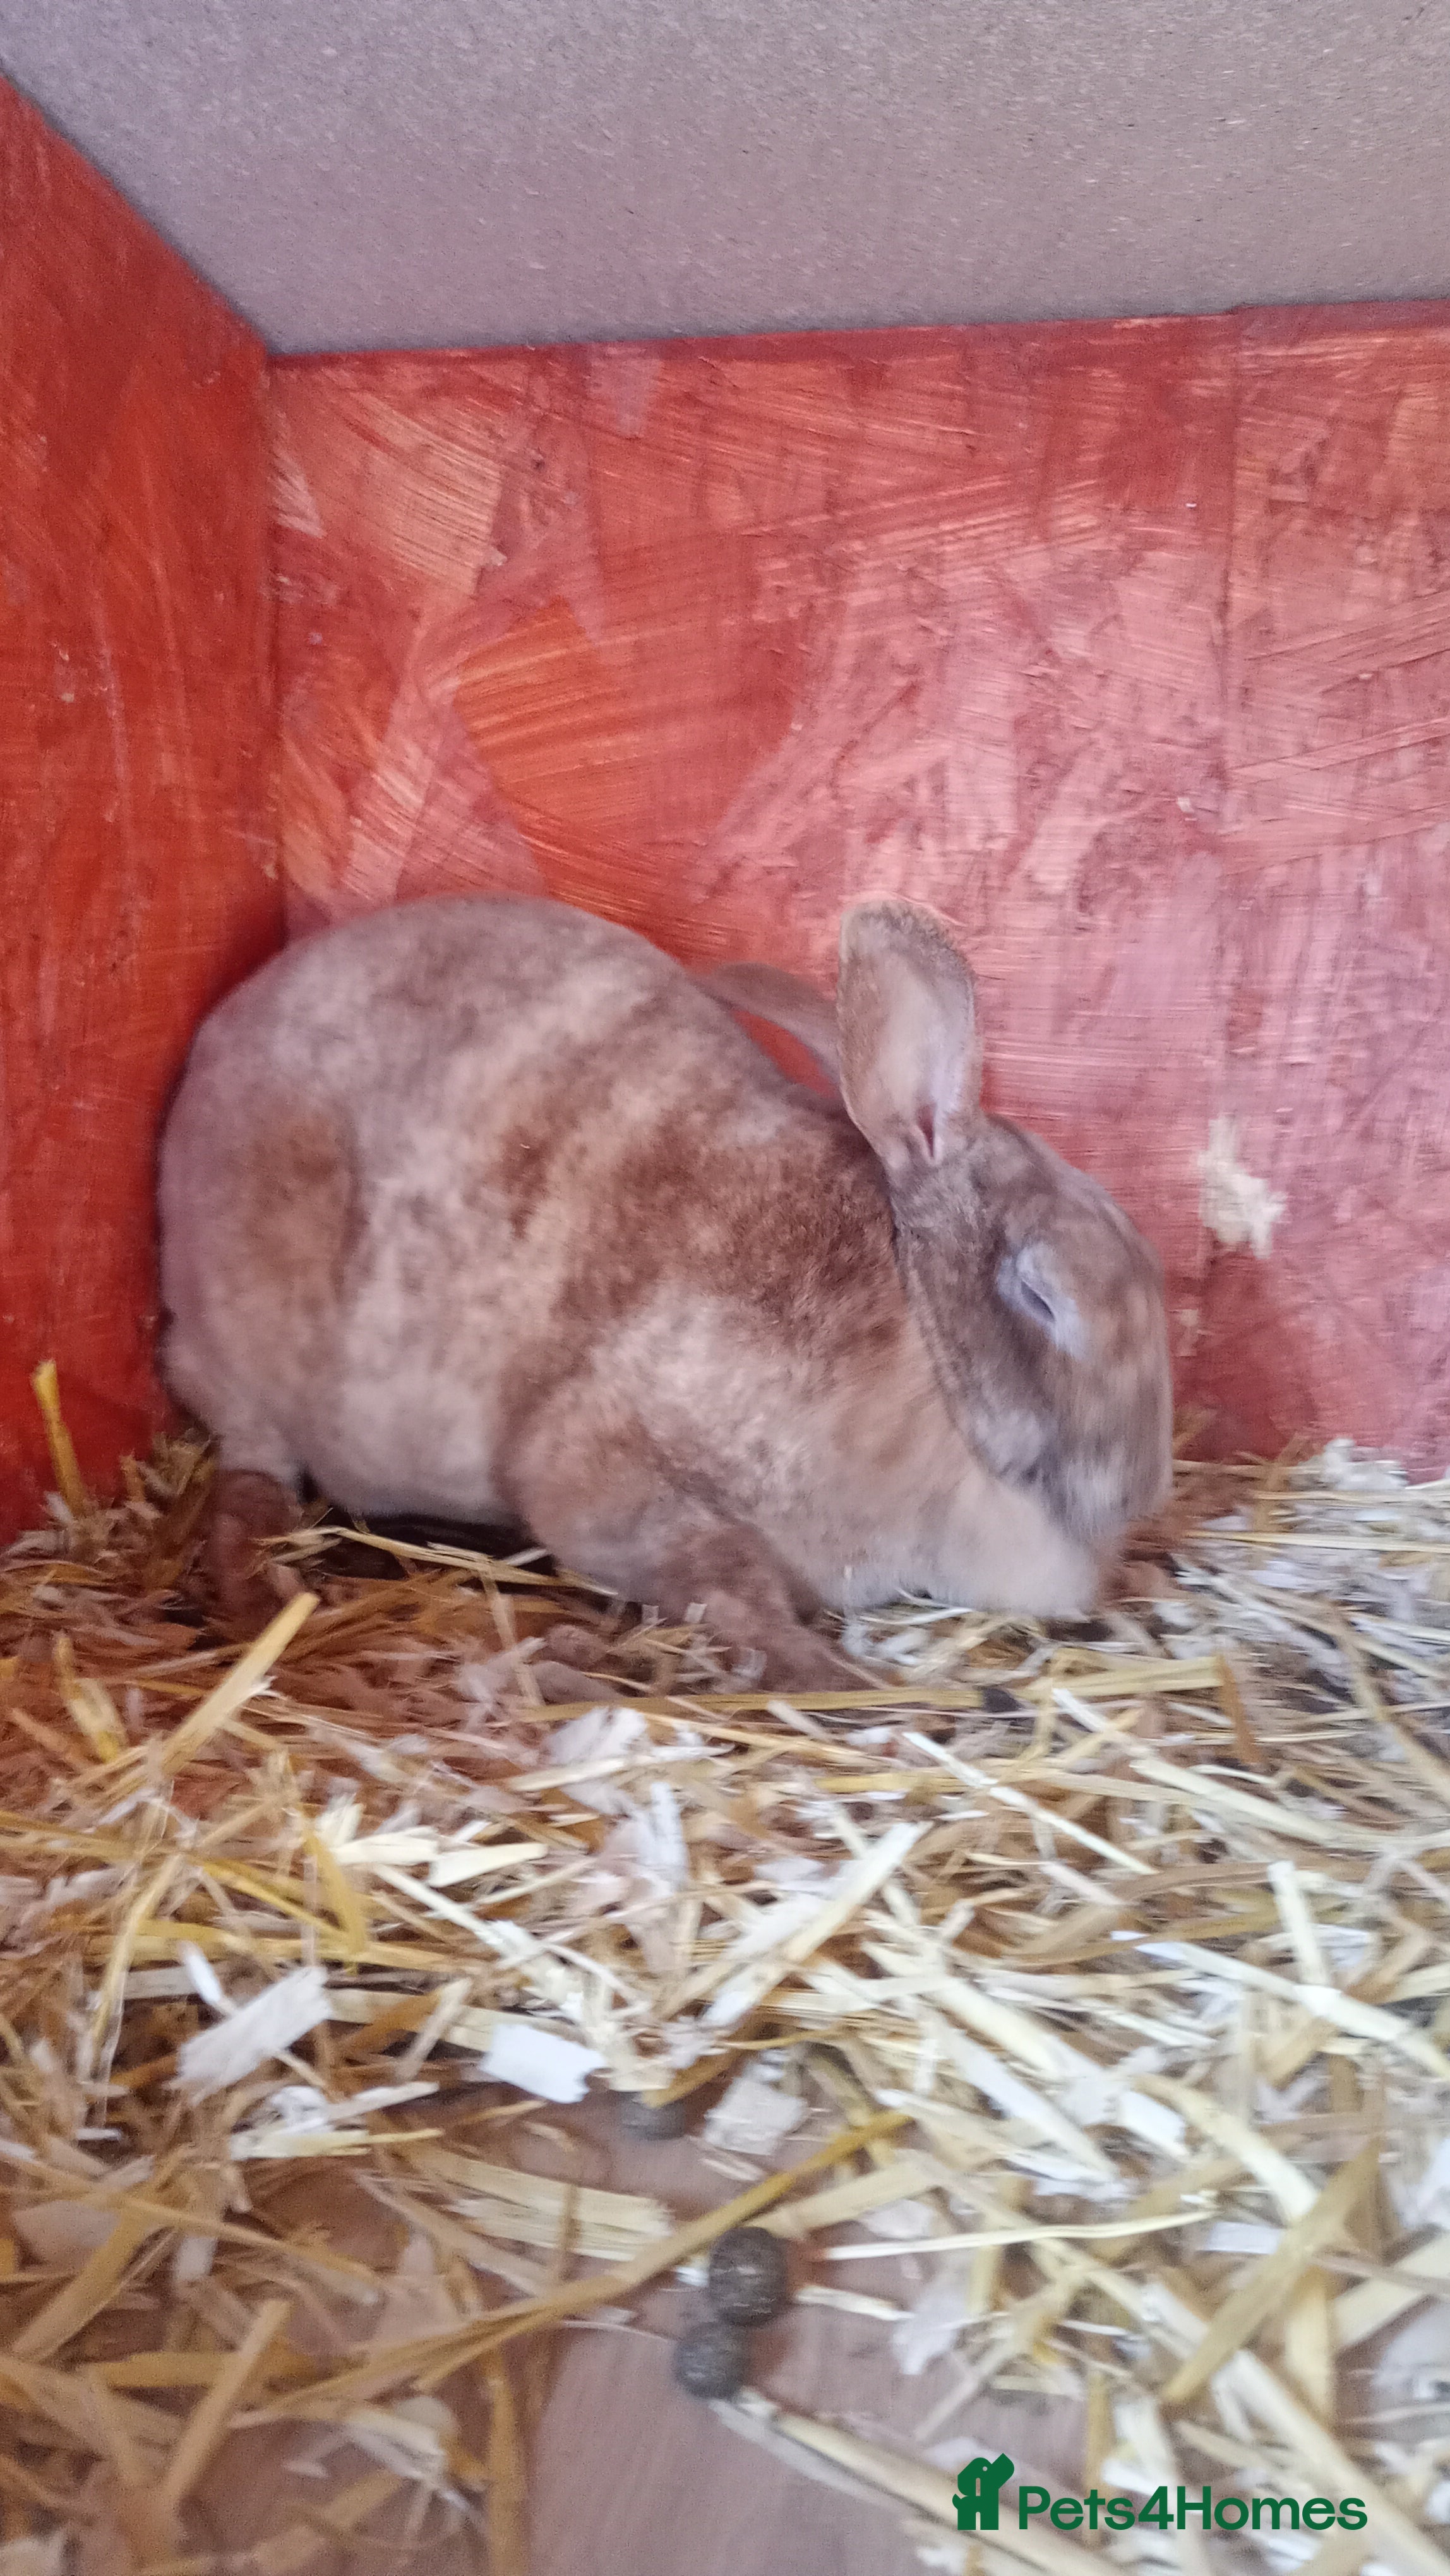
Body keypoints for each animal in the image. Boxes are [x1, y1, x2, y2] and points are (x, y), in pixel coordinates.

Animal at [156, 893, 1172, 1687]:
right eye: (1045, 1297)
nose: (1142, 1494)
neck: (923, 1352)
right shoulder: (614, 1476)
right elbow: (725, 1580)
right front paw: (828, 1671)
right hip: (255, 1358)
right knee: (250, 1474)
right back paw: (257, 1597)